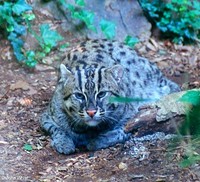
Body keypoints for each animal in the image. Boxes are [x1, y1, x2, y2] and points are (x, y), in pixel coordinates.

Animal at [39, 39, 180, 154]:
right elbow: (57, 129)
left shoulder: (132, 115)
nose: (91, 112)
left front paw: (97, 140)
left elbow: (122, 130)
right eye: (79, 95)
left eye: (102, 94)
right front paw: (64, 143)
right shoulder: (46, 117)